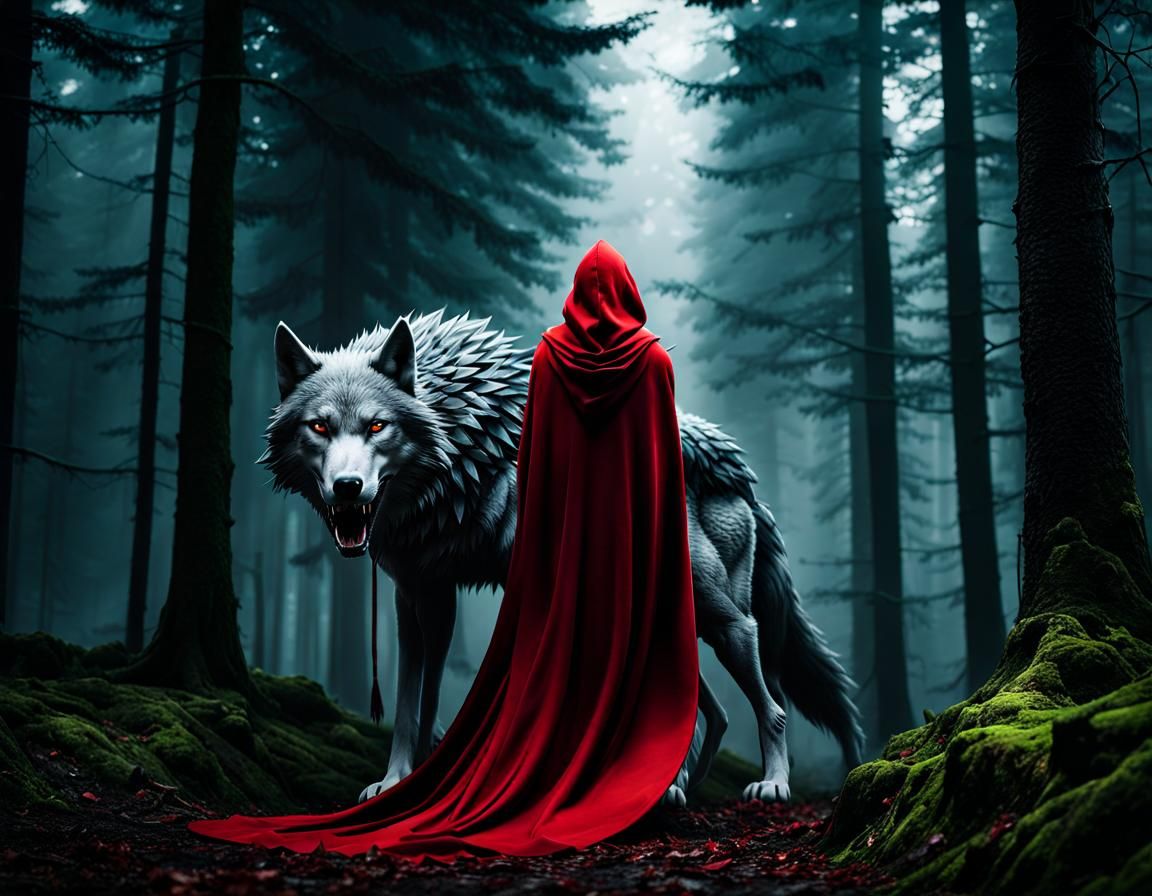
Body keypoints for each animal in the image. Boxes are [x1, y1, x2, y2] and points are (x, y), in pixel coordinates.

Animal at [264, 309, 864, 805]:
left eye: (376, 426)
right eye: (319, 426)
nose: (347, 488)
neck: (457, 453)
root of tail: (735, 468)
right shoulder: (422, 594)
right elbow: (416, 699)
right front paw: (399, 782)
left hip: (719, 618)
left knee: (770, 701)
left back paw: (770, 784)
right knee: (707, 713)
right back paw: (673, 788)